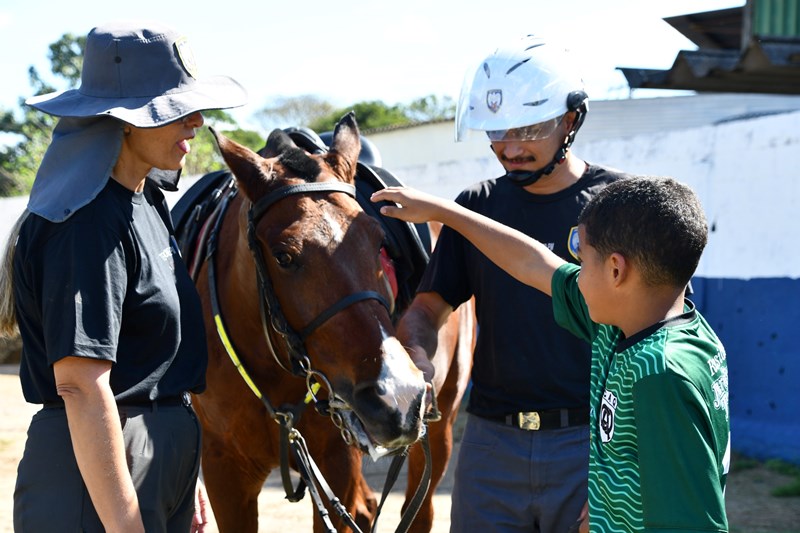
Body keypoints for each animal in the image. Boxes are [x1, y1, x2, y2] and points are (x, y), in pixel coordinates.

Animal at [180, 113, 468, 532]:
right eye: (283, 256)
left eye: (379, 242)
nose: (397, 395)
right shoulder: (223, 470)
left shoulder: (337, 460)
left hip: (439, 425)